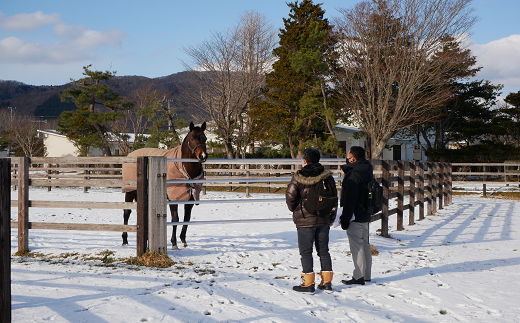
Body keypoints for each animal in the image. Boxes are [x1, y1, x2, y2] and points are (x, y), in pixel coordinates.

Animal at [122, 121, 207, 251]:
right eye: (192, 138)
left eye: (205, 138)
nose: (203, 156)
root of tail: (131, 154)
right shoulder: (173, 198)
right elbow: (175, 219)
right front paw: (174, 243)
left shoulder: (191, 198)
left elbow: (186, 218)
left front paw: (183, 241)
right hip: (130, 191)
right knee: (126, 212)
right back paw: (125, 240)